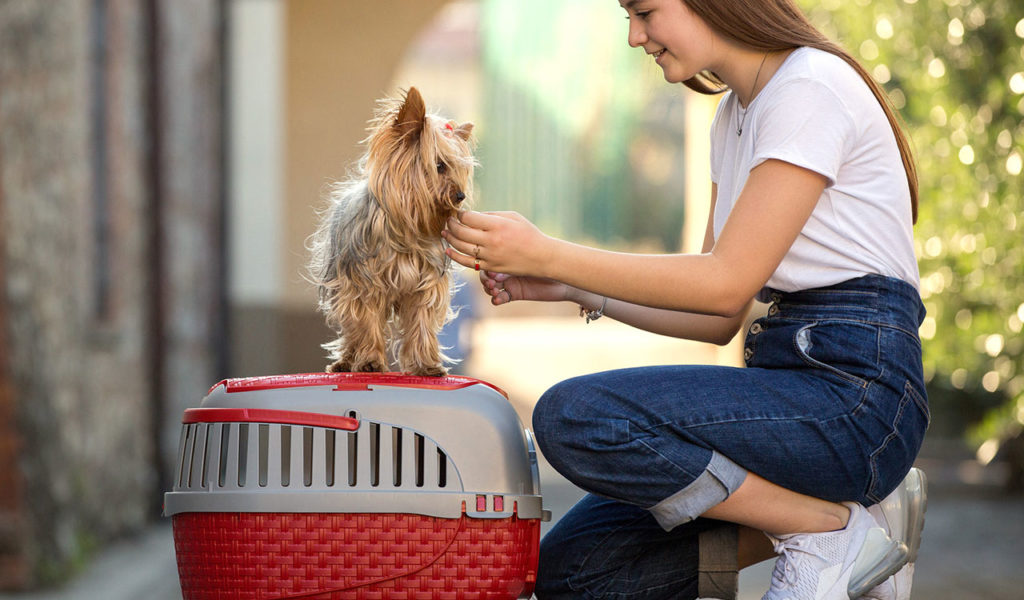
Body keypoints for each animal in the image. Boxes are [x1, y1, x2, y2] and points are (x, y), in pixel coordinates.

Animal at [307, 85, 475, 372]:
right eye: (439, 166)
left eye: (458, 170)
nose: (460, 196)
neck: (406, 229)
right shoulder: (365, 283)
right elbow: (366, 320)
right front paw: (370, 362)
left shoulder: (425, 286)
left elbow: (421, 321)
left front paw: (425, 365)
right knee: (351, 324)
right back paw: (346, 361)